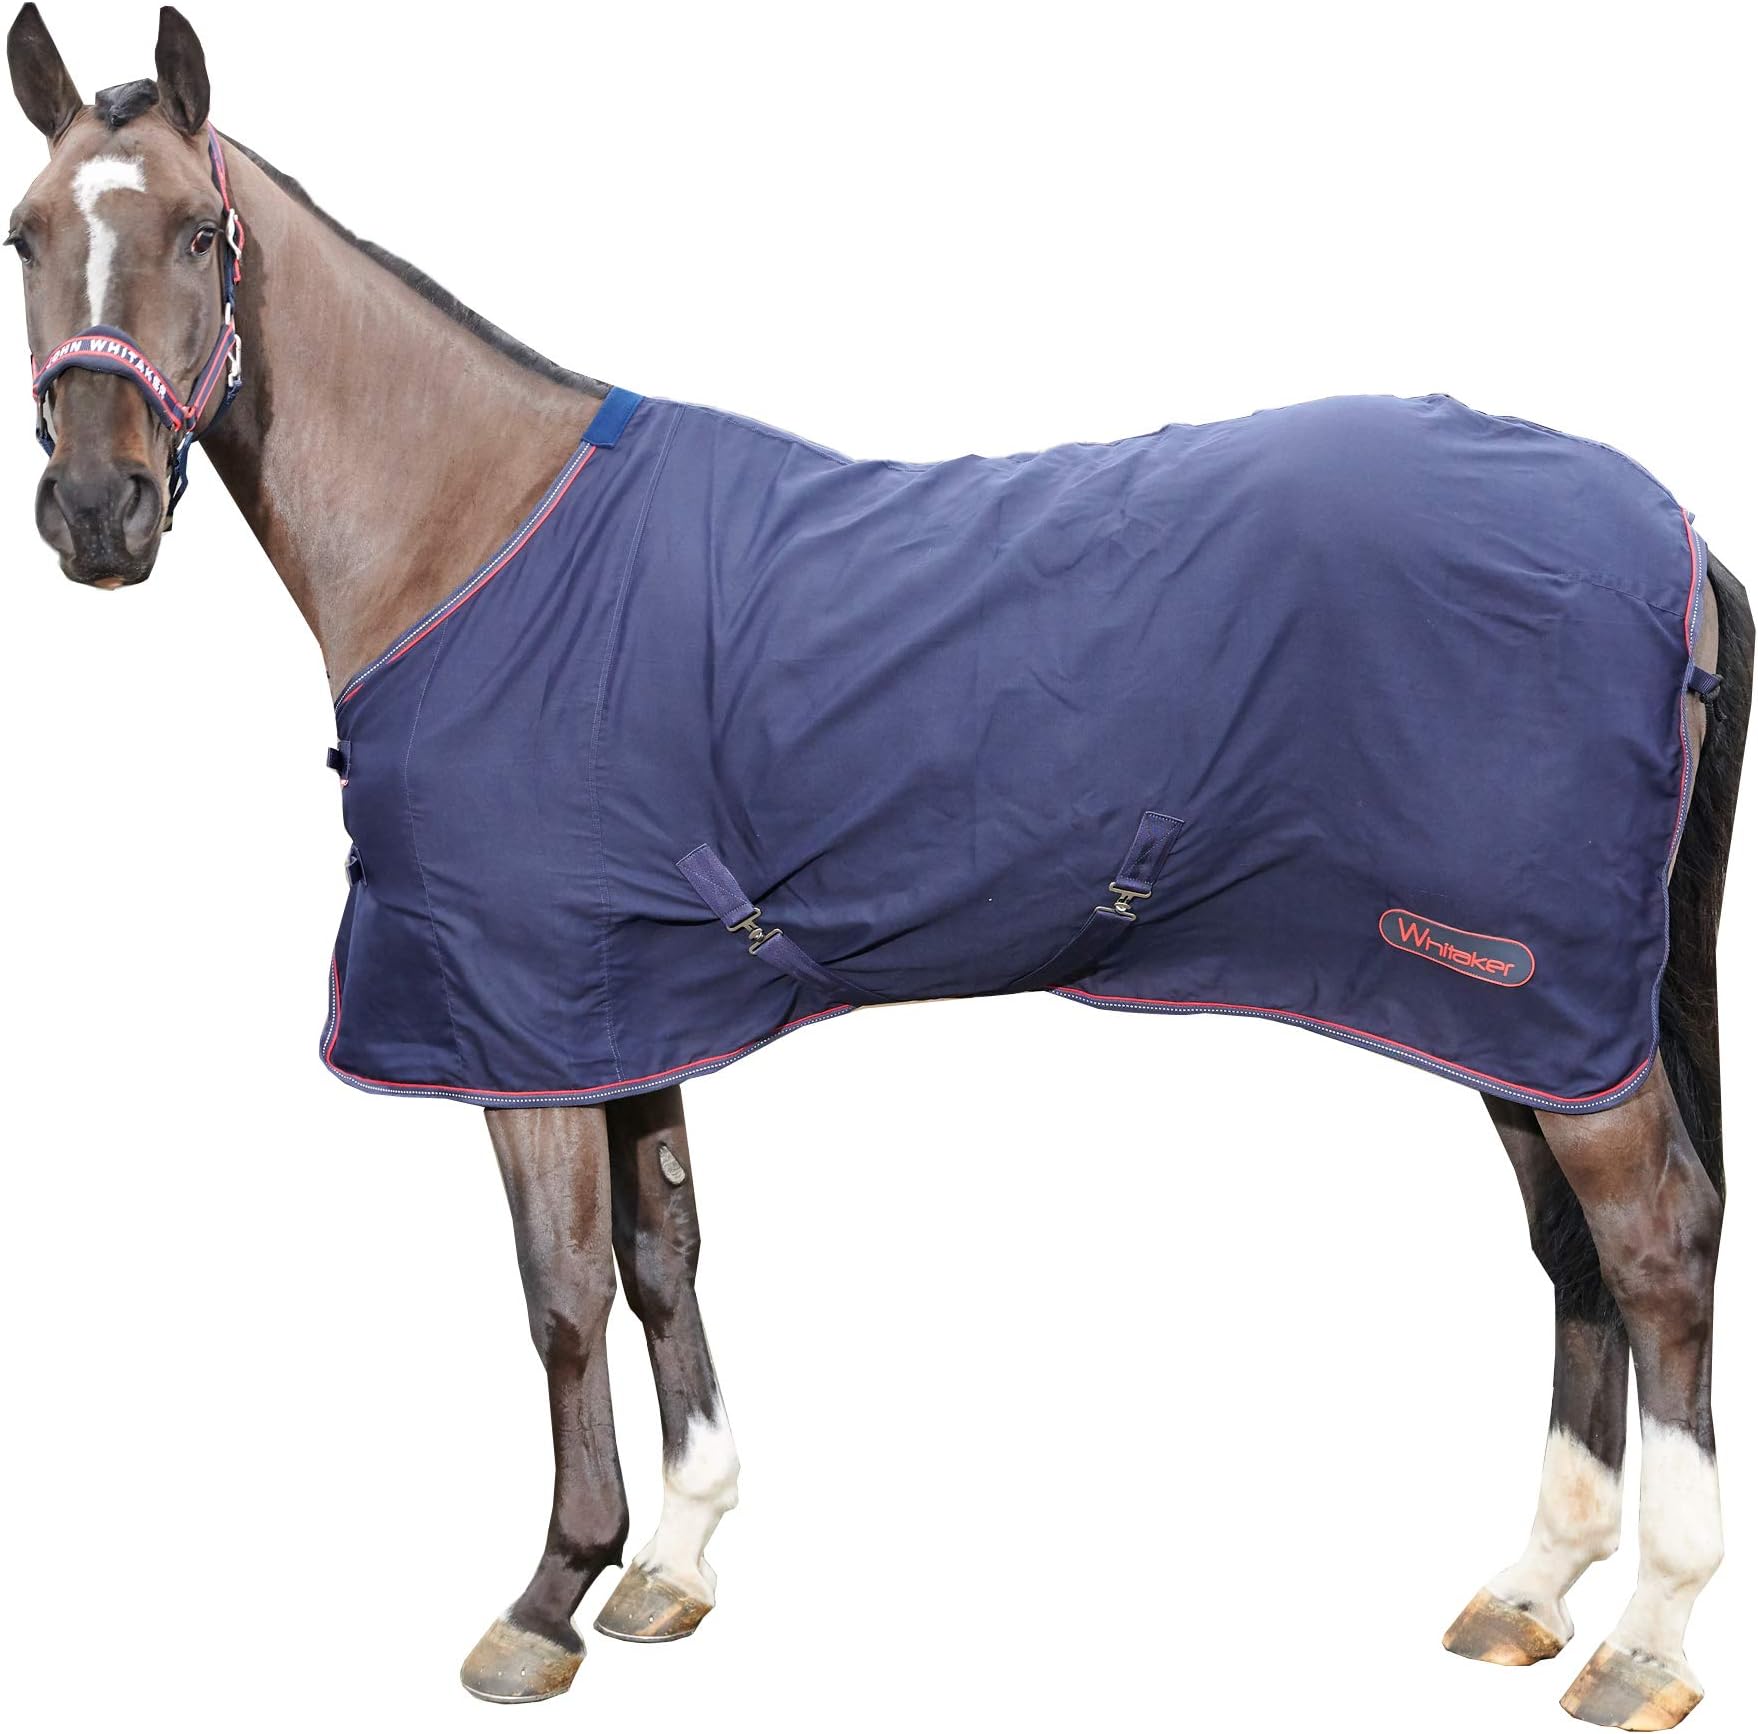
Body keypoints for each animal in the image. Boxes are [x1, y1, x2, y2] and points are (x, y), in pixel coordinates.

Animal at [6, 9, 1749, 1727]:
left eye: (196, 229)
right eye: (24, 233)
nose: (93, 511)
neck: (475, 533)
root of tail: (1667, 528)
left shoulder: (516, 1027)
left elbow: (560, 1294)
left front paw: (550, 1592)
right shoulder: (621, 1007)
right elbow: (662, 1258)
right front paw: (673, 1562)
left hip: (1533, 996)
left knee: (1656, 1244)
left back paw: (1647, 1636)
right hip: (1500, 1009)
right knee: (1571, 1255)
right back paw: (1528, 1588)